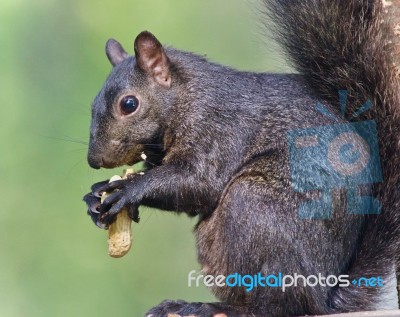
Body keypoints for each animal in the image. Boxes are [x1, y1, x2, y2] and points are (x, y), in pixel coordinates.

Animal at [83, 1, 400, 314]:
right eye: (93, 105)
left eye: (129, 104)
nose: (94, 160)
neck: (187, 96)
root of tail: (325, 297)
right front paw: (96, 195)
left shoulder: (220, 130)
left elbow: (198, 185)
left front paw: (128, 189)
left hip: (253, 207)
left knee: (279, 306)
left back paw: (211, 306)